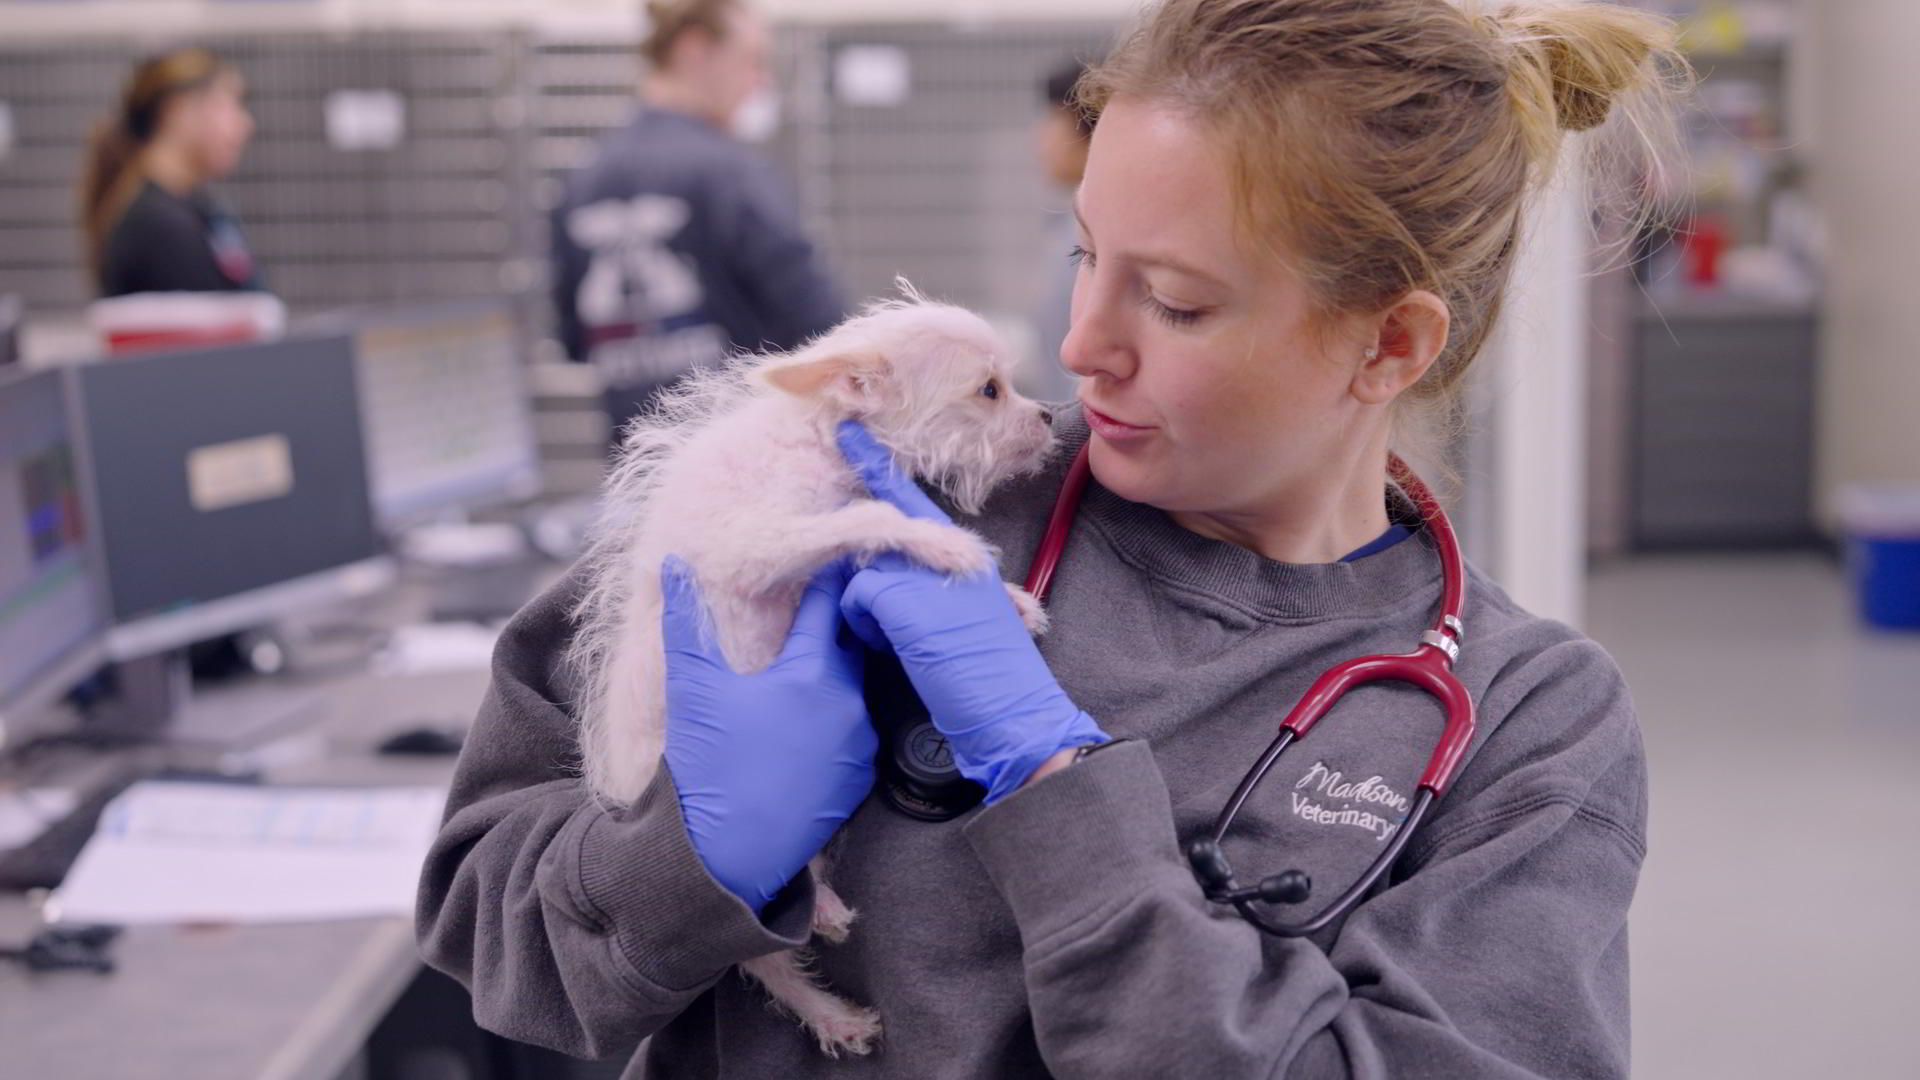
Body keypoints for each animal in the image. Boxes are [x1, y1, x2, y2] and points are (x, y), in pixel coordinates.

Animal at [568, 286, 1059, 1053]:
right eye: (989, 390)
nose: (1046, 417)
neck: (820, 434)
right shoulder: (757, 545)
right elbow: (862, 519)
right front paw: (948, 547)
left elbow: (863, 546)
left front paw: (1001, 605)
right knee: (763, 955)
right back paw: (832, 1003)